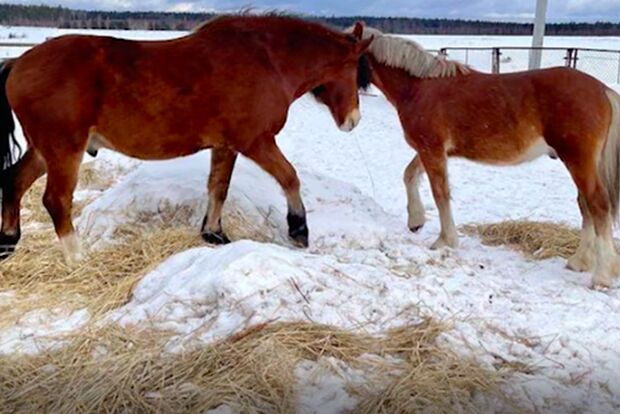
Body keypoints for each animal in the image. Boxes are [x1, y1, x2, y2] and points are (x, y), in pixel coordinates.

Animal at [0, 16, 372, 264]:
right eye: (357, 71)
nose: (353, 120)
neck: (267, 60)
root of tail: (19, 63)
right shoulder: (256, 142)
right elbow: (290, 177)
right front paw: (298, 229)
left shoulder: (226, 146)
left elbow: (218, 188)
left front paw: (214, 233)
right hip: (64, 150)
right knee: (56, 200)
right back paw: (79, 259)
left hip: (44, 151)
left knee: (14, 181)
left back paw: (8, 242)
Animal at [348, 25, 620, 288]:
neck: (418, 87)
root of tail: (602, 90)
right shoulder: (431, 151)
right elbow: (409, 175)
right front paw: (416, 220)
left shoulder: (431, 150)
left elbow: (440, 194)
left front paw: (444, 241)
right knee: (585, 204)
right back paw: (579, 261)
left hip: (578, 161)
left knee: (597, 204)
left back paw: (601, 276)